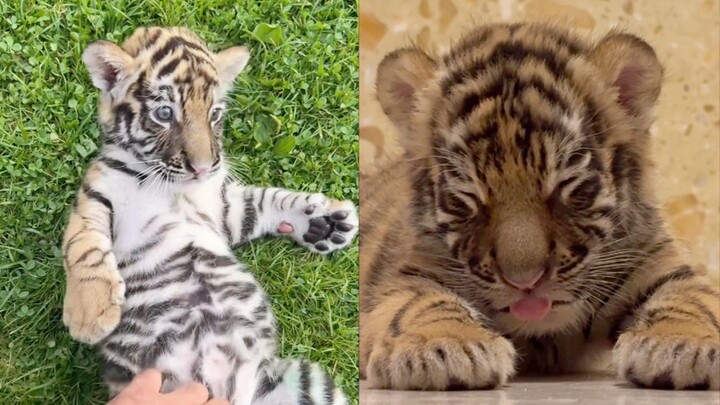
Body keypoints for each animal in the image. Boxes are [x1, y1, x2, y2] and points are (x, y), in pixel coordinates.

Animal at [61, 26, 357, 404]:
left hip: (302, 379)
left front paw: (327, 222)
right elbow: (84, 246)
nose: (202, 168)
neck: (169, 185)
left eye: (214, 114)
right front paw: (91, 314)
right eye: (164, 113)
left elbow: (268, 199)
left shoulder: (224, 207)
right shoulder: (95, 196)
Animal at [359, 22, 720, 391]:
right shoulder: (412, 275)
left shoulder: (658, 263)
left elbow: (692, 301)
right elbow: (420, 303)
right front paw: (444, 346)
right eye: (468, 195)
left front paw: (683, 344)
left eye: (566, 184)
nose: (525, 282)